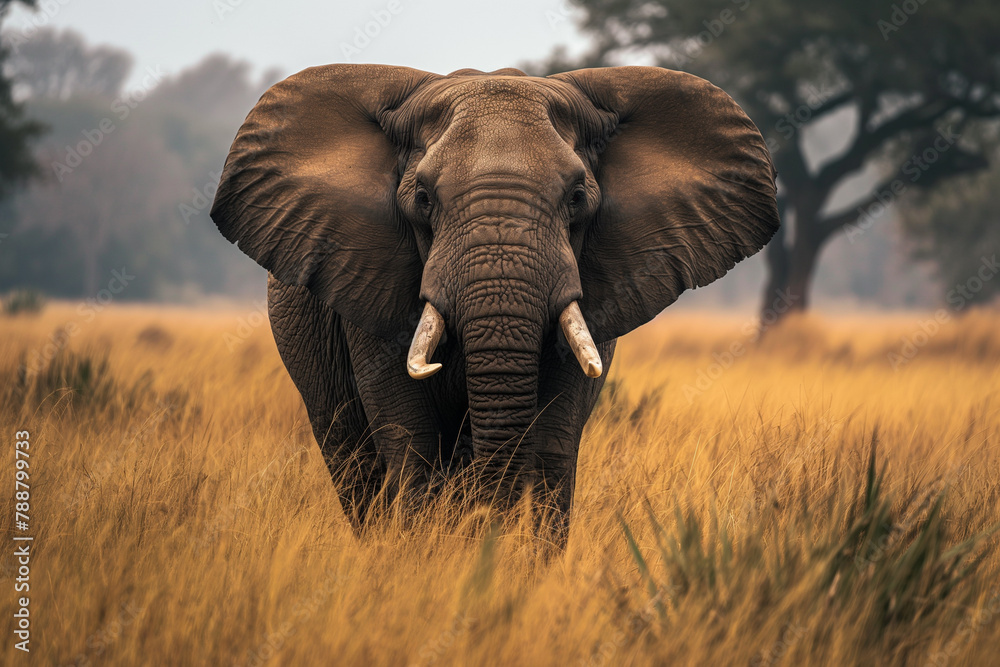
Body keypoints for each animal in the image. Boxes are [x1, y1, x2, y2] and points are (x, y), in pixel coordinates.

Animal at [210, 64, 779, 542]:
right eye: (423, 198)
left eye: (577, 197)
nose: (487, 527)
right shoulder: (366, 270)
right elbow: (410, 436)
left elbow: (553, 438)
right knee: (354, 463)